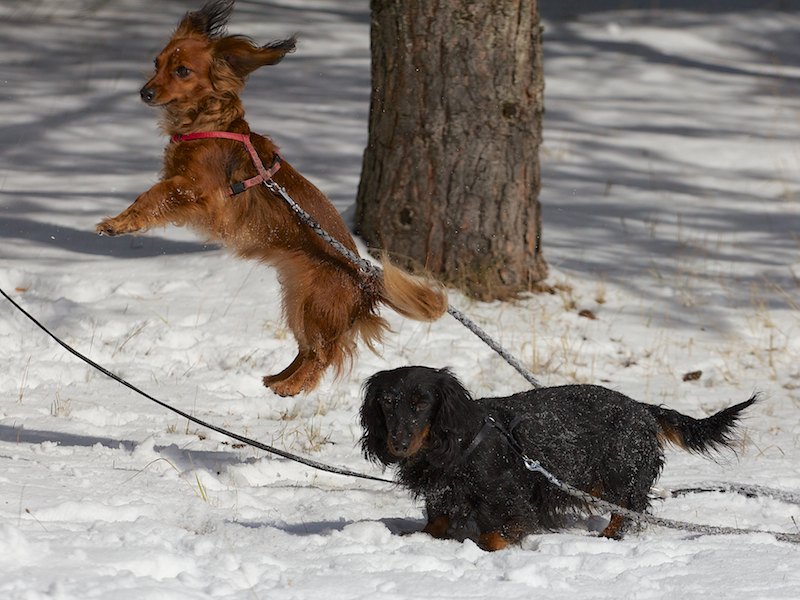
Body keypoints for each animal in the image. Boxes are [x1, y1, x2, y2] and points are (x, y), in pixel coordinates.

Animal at [95, 0, 447, 397]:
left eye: (182, 70)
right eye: (157, 63)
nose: (145, 92)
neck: (207, 123)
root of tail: (367, 280)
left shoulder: (196, 189)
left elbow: (152, 194)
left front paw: (117, 223)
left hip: (315, 305)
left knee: (323, 353)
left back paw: (292, 387)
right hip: (296, 300)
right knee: (307, 349)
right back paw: (279, 378)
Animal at [360, 366, 757, 551]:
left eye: (421, 403)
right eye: (387, 403)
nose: (399, 443)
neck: (455, 443)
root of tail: (642, 408)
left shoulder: (506, 497)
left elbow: (494, 534)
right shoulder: (441, 496)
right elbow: (436, 524)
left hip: (619, 473)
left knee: (627, 510)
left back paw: (608, 538)